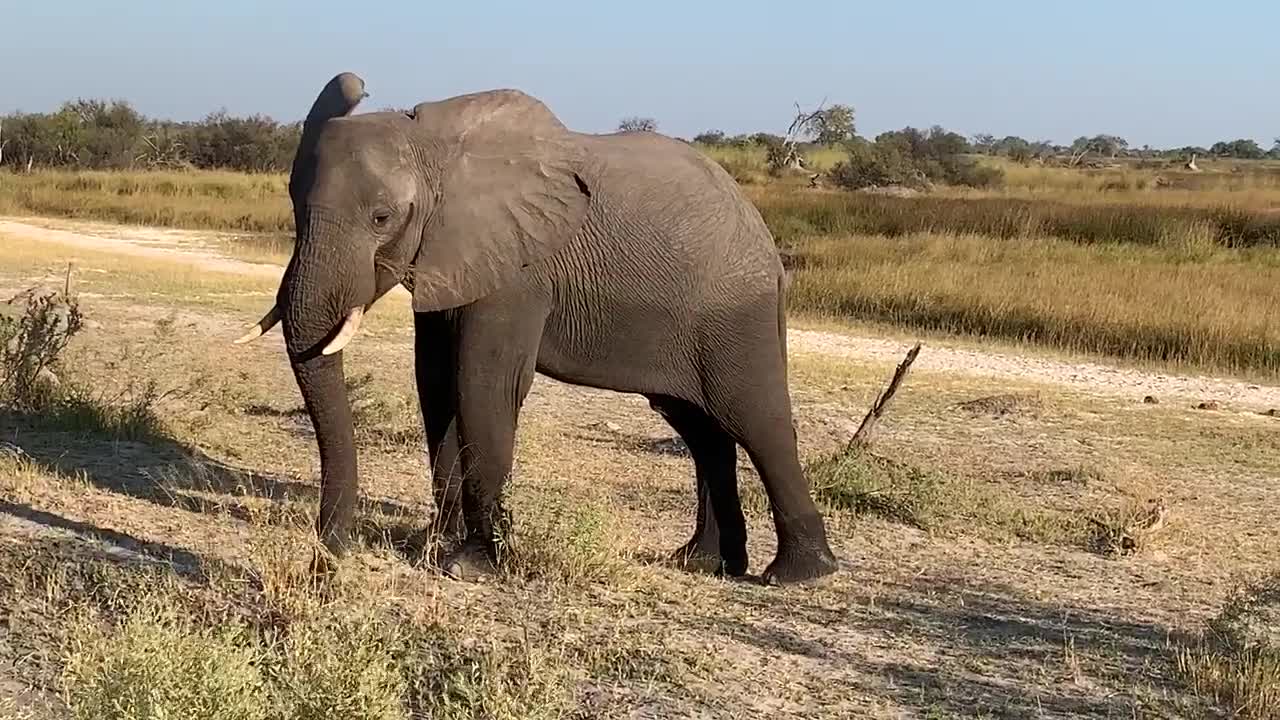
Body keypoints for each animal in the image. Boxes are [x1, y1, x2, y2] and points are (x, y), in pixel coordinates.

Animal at [235, 71, 839, 584]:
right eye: (293, 204)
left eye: (382, 219)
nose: (331, 554)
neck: (434, 145)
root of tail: (763, 235)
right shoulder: (448, 257)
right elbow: (435, 383)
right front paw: (431, 546)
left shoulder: (519, 270)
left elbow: (483, 384)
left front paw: (470, 566)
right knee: (700, 428)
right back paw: (701, 562)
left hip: (736, 313)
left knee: (754, 418)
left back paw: (797, 574)